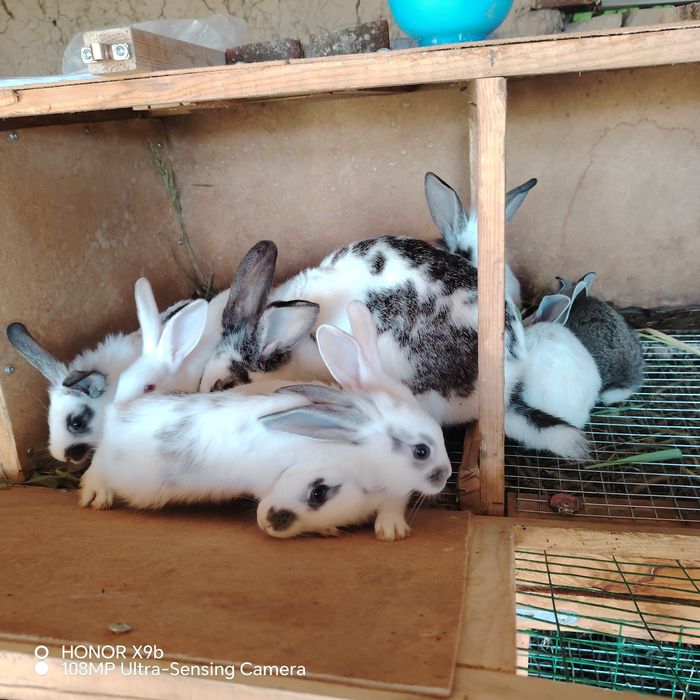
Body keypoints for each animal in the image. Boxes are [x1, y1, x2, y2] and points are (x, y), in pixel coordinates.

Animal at [79, 301, 452, 541]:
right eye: (421, 450)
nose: (445, 475)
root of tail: (119, 412)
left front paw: (388, 528)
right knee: (97, 466)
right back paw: (95, 493)